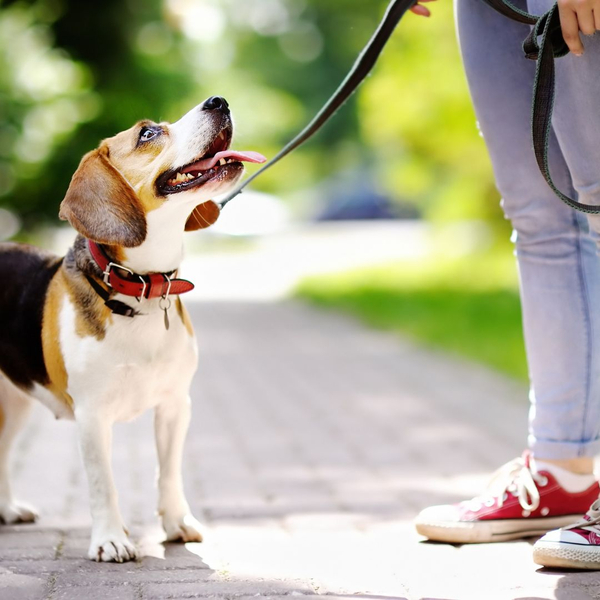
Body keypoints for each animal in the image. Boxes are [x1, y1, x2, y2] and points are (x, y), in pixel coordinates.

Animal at [0, 97, 264, 564]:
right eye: (148, 134)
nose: (219, 101)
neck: (140, 287)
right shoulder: (91, 415)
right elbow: (102, 482)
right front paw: (110, 539)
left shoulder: (175, 404)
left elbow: (169, 472)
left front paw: (176, 523)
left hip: (15, 404)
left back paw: (10, 509)